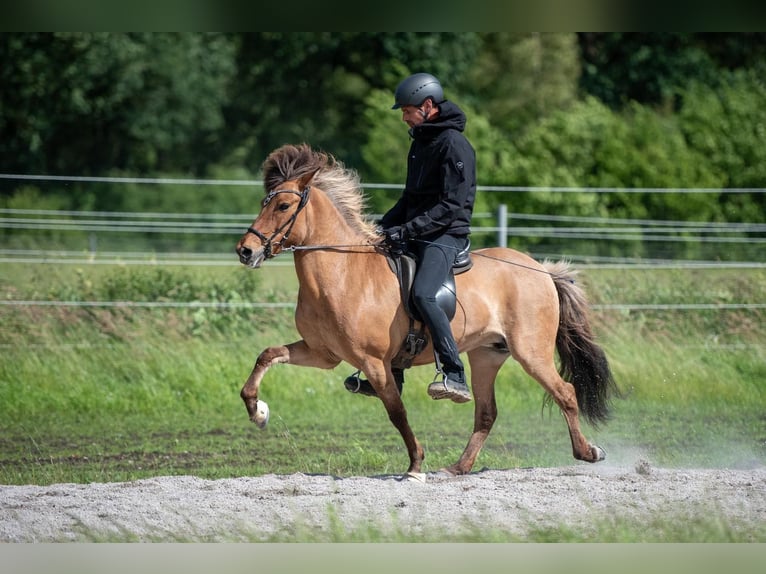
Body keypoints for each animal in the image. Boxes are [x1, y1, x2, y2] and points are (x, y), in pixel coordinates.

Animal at [237, 144, 620, 482]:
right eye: (264, 203)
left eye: (283, 205)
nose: (246, 250)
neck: (343, 273)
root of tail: (541, 270)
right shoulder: (323, 354)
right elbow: (267, 355)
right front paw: (258, 412)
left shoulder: (375, 363)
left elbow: (397, 413)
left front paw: (415, 466)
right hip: (487, 355)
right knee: (486, 413)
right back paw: (457, 468)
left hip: (531, 351)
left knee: (565, 393)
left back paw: (588, 452)